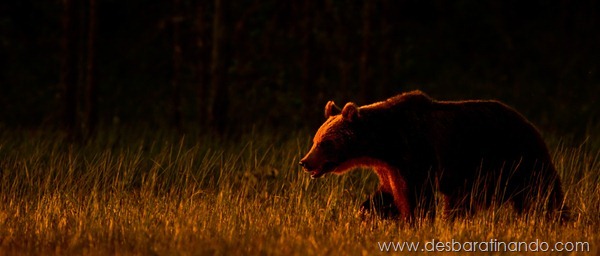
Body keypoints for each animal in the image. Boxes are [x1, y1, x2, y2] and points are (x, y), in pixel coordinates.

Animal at [300, 91, 568, 221]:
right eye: (315, 140)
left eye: (325, 143)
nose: (305, 162)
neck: (385, 143)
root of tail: (530, 124)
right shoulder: (389, 167)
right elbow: (387, 194)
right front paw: (368, 212)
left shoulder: (416, 151)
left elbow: (416, 196)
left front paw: (415, 220)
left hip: (515, 158)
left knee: (542, 192)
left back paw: (557, 218)